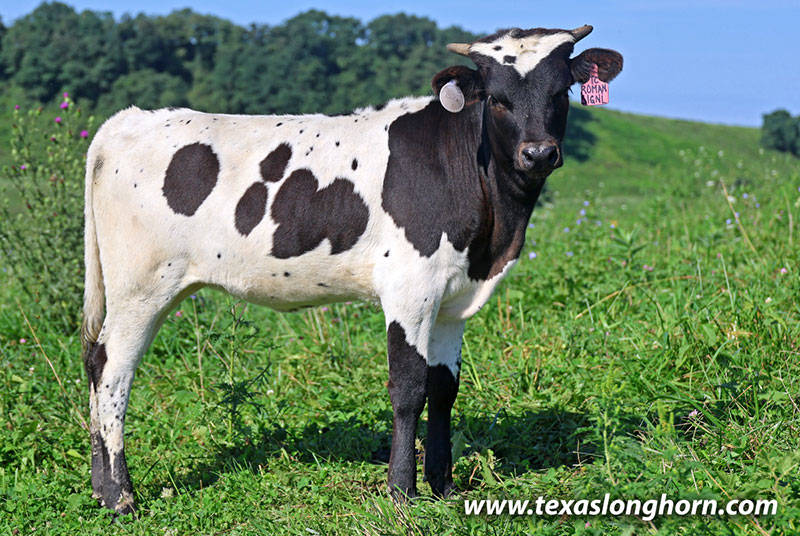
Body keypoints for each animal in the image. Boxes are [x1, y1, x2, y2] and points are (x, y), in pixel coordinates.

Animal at [82, 25, 622, 514]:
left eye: (561, 90)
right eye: (496, 98)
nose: (538, 153)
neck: (494, 231)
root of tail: (126, 122)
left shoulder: (452, 301)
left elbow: (444, 390)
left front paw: (443, 488)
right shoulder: (410, 289)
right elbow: (408, 389)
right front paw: (402, 492)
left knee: (94, 362)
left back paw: (101, 488)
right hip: (142, 286)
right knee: (112, 368)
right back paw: (120, 496)